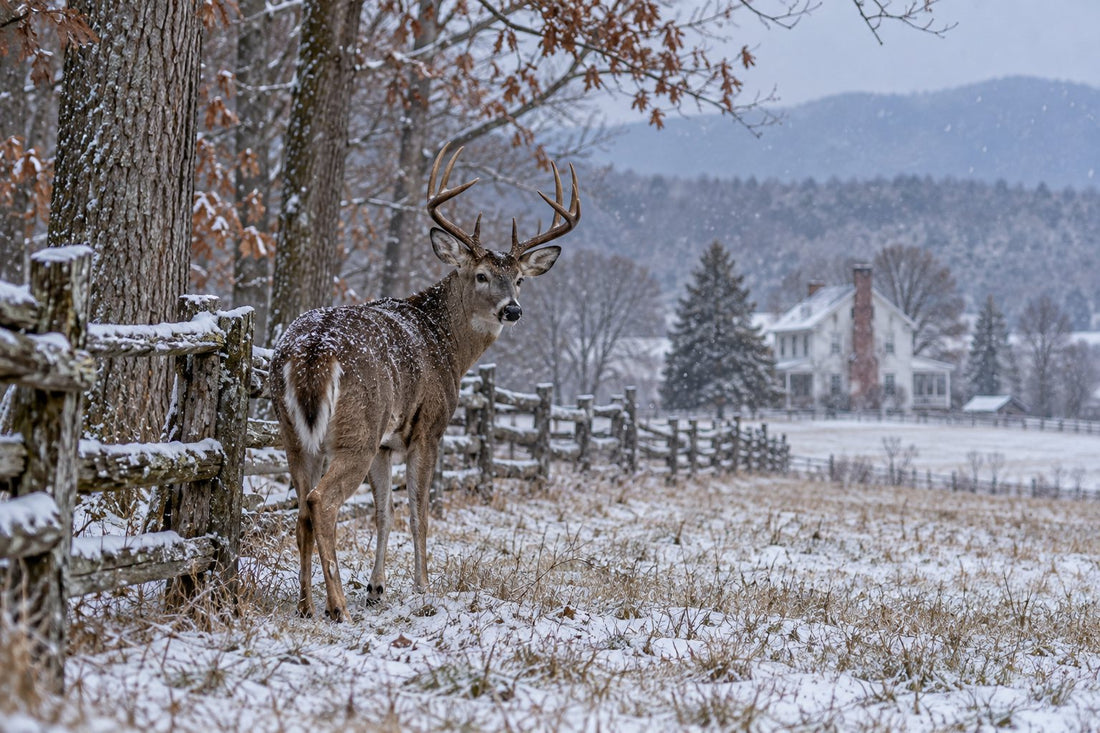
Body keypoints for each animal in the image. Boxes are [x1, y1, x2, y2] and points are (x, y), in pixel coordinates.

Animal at [269, 143, 580, 621]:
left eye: (520, 279)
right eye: (481, 275)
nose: (512, 310)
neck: (447, 345)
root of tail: (314, 350)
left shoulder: (385, 444)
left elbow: (385, 511)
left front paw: (377, 588)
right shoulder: (429, 428)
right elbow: (419, 511)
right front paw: (423, 588)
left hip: (295, 434)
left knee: (301, 507)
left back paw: (306, 605)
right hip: (356, 430)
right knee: (322, 503)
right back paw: (337, 606)